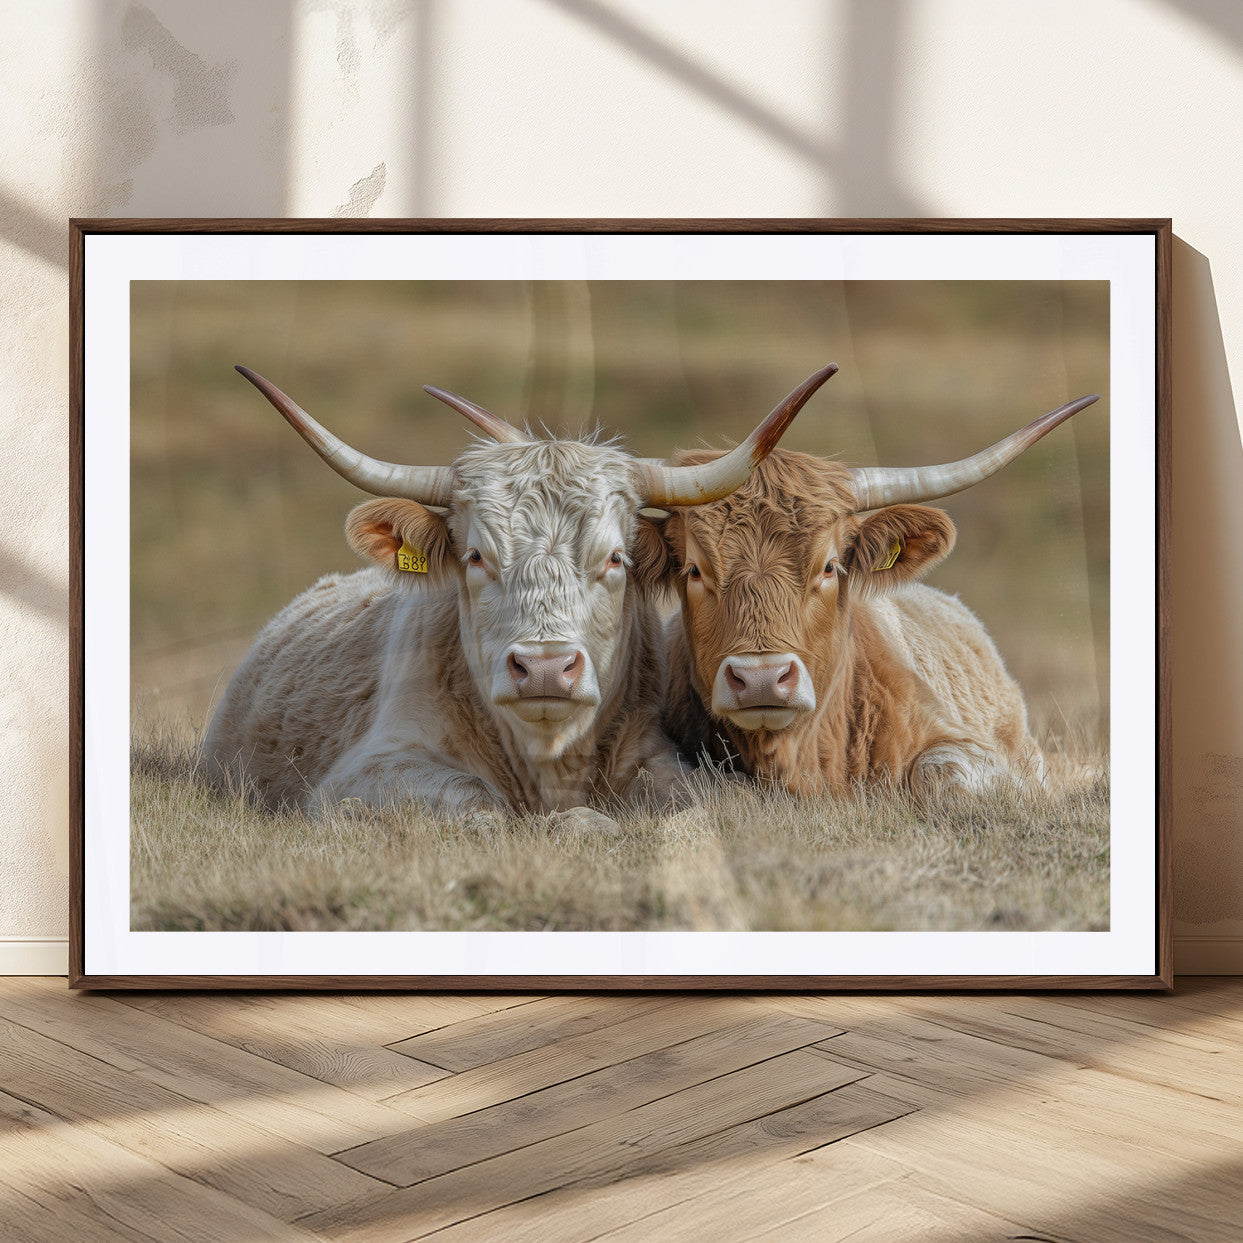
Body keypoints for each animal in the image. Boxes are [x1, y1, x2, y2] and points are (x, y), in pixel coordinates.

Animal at [202, 363, 837, 818]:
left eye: (616, 558)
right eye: (476, 556)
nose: (545, 669)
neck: (549, 759)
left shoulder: (660, 758)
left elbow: (717, 799)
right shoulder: (366, 773)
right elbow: (480, 803)